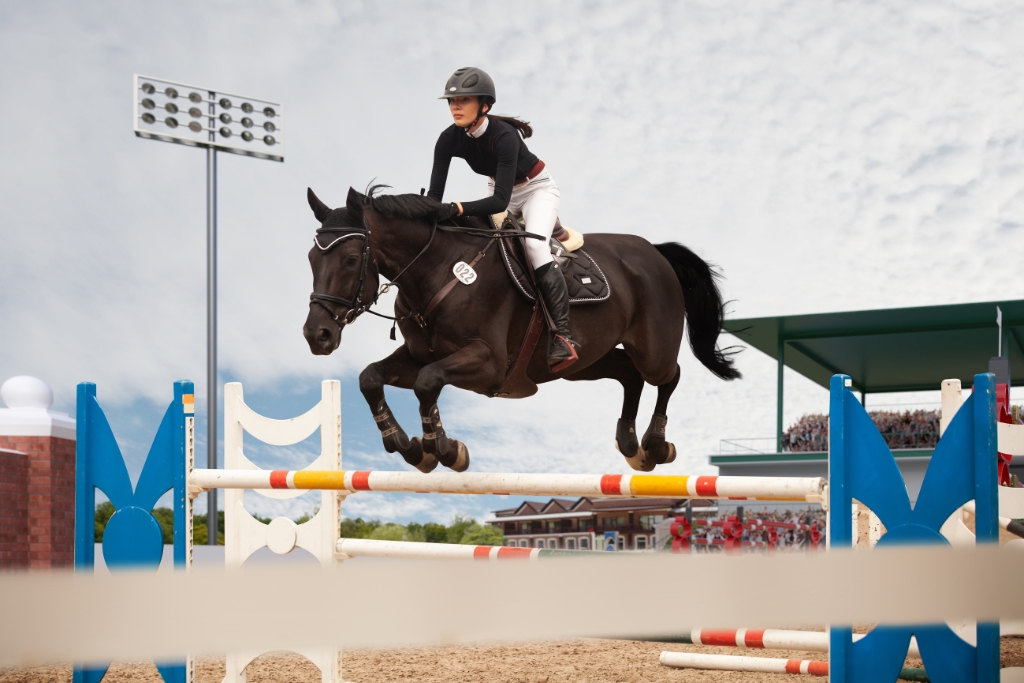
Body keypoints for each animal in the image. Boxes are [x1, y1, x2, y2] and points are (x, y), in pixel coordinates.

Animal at [299, 187, 741, 475]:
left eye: (351, 258)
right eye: (310, 259)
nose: (316, 335)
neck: (438, 270)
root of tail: (655, 251)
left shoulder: (488, 363)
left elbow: (427, 383)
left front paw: (442, 448)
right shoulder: (419, 355)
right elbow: (371, 377)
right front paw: (409, 447)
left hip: (652, 349)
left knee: (668, 375)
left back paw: (655, 443)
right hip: (583, 362)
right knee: (629, 375)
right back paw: (632, 446)